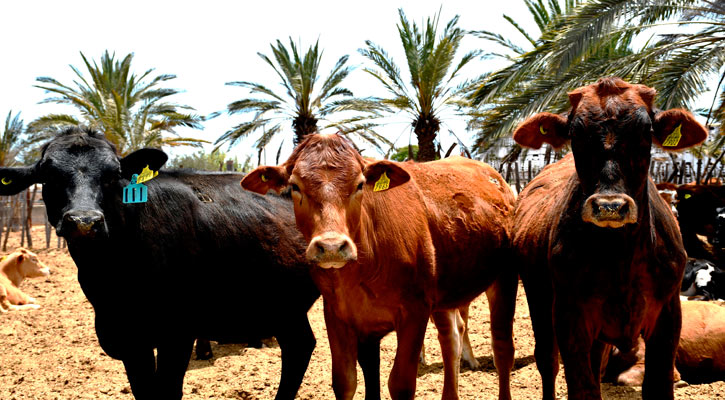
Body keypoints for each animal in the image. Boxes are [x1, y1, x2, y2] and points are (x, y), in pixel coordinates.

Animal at [0, 128, 320, 400]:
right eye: (48, 176)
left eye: (114, 175)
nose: (84, 221)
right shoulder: (129, 340)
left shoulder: (177, 334)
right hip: (284, 305)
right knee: (300, 346)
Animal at [510, 77, 708, 400]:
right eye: (575, 133)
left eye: (645, 132)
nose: (610, 206)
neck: (620, 257)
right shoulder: (570, 318)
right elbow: (583, 387)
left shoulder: (667, 317)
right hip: (538, 298)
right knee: (547, 361)